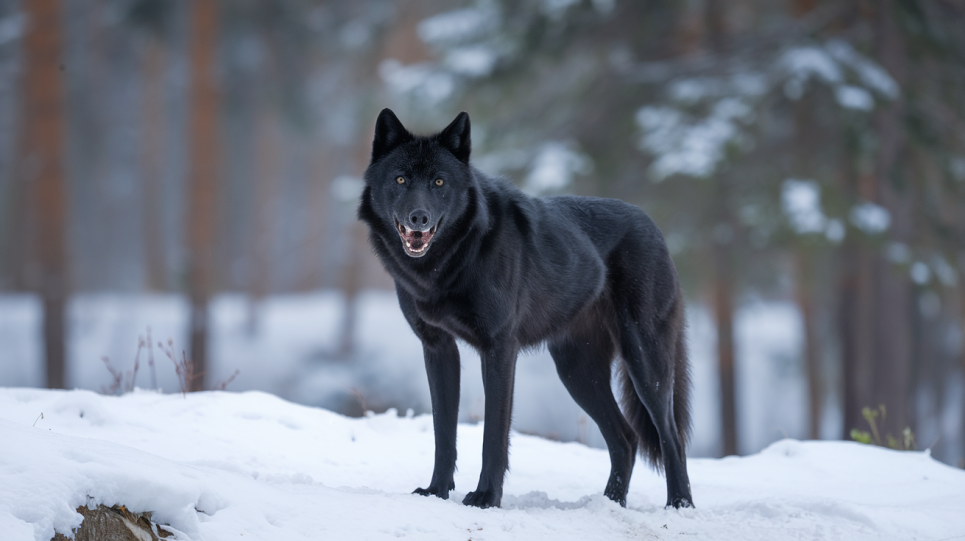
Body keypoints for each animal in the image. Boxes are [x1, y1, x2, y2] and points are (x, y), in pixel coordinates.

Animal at [358, 108, 688, 506]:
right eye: (401, 179)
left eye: (438, 182)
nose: (419, 217)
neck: (448, 266)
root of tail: (653, 226)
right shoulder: (438, 349)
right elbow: (443, 432)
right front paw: (436, 492)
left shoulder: (499, 349)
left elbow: (493, 436)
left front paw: (486, 497)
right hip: (578, 373)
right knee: (626, 438)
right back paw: (609, 504)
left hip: (643, 363)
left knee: (671, 437)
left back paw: (679, 506)